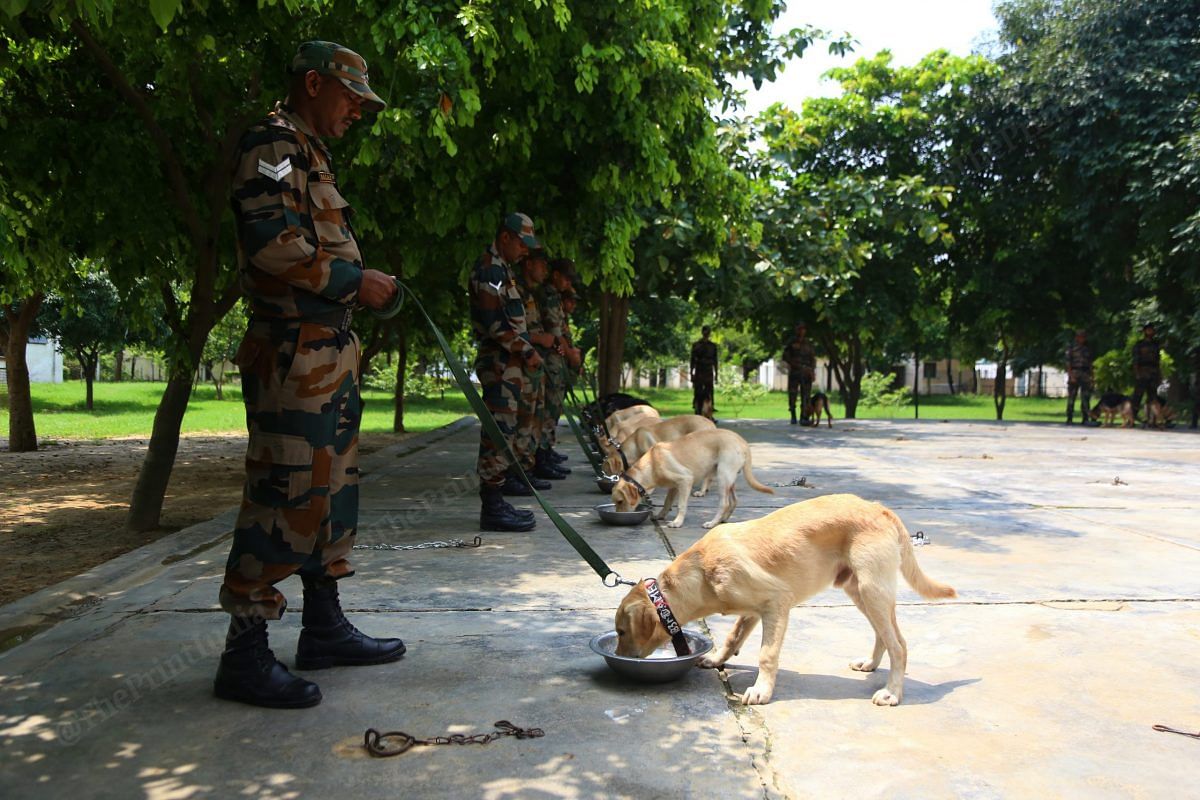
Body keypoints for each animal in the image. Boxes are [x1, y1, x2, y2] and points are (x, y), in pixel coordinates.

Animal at [614, 429, 772, 527]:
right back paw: (723, 519)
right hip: (729, 480)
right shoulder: (674, 487)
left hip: (723, 476)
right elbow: (667, 503)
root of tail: (742, 441)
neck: (652, 463)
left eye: (620, 501)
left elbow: (681, 505)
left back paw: (712, 523)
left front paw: (677, 522)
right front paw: (660, 515)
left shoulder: (685, 480)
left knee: (725, 503)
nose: (620, 517)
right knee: (734, 501)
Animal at [619, 494, 955, 705]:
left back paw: (892, 693)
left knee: (900, 645)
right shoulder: (753, 610)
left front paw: (761, 691)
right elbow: (732, 637)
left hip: (872, 589)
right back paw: (871, 664)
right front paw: (716, 659)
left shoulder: (776, 602)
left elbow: (767, 655)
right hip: (860, 591)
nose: (623, 658)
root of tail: (879, 508)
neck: (702, 571)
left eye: (622, 632)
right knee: (885, 635)